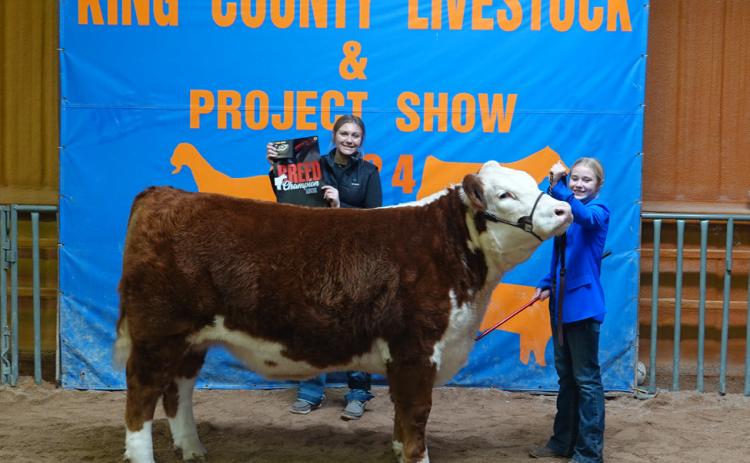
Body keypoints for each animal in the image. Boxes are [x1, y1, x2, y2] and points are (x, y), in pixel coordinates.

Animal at [114, 160, 573, 463]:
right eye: (505, 195)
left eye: (534, 184)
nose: (563, 210)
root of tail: (164, 194)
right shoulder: (415, 349)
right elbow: (417, 414)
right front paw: (413, 456)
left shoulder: (404, 357)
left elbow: (402, 413)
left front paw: (395, 449)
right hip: (157, 334)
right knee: (141, 397)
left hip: (191, 338)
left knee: (179, 389)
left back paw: (192, 449)